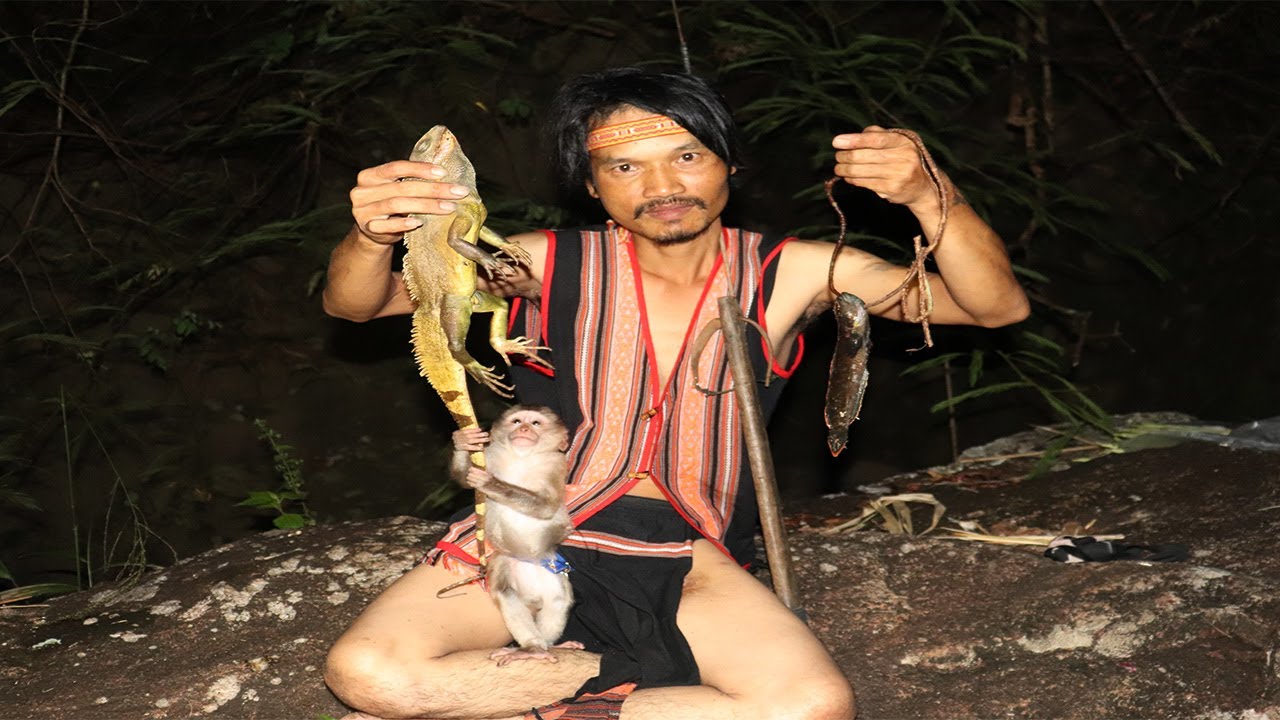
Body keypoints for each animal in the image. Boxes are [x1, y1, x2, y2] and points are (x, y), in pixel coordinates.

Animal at [451, 404, 584, 665]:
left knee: (558, 600)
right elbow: (464, 480)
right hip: (506, 562)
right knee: (506, 594)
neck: (522, 457)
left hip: (552, 569)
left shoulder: (555, 464)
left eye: (536, 423)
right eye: (517, 421)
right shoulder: (491, 454)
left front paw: (491, 483)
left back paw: (542, 648)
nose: (523, 429)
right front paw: (464, 440)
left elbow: (546, 506)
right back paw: (536, 647)